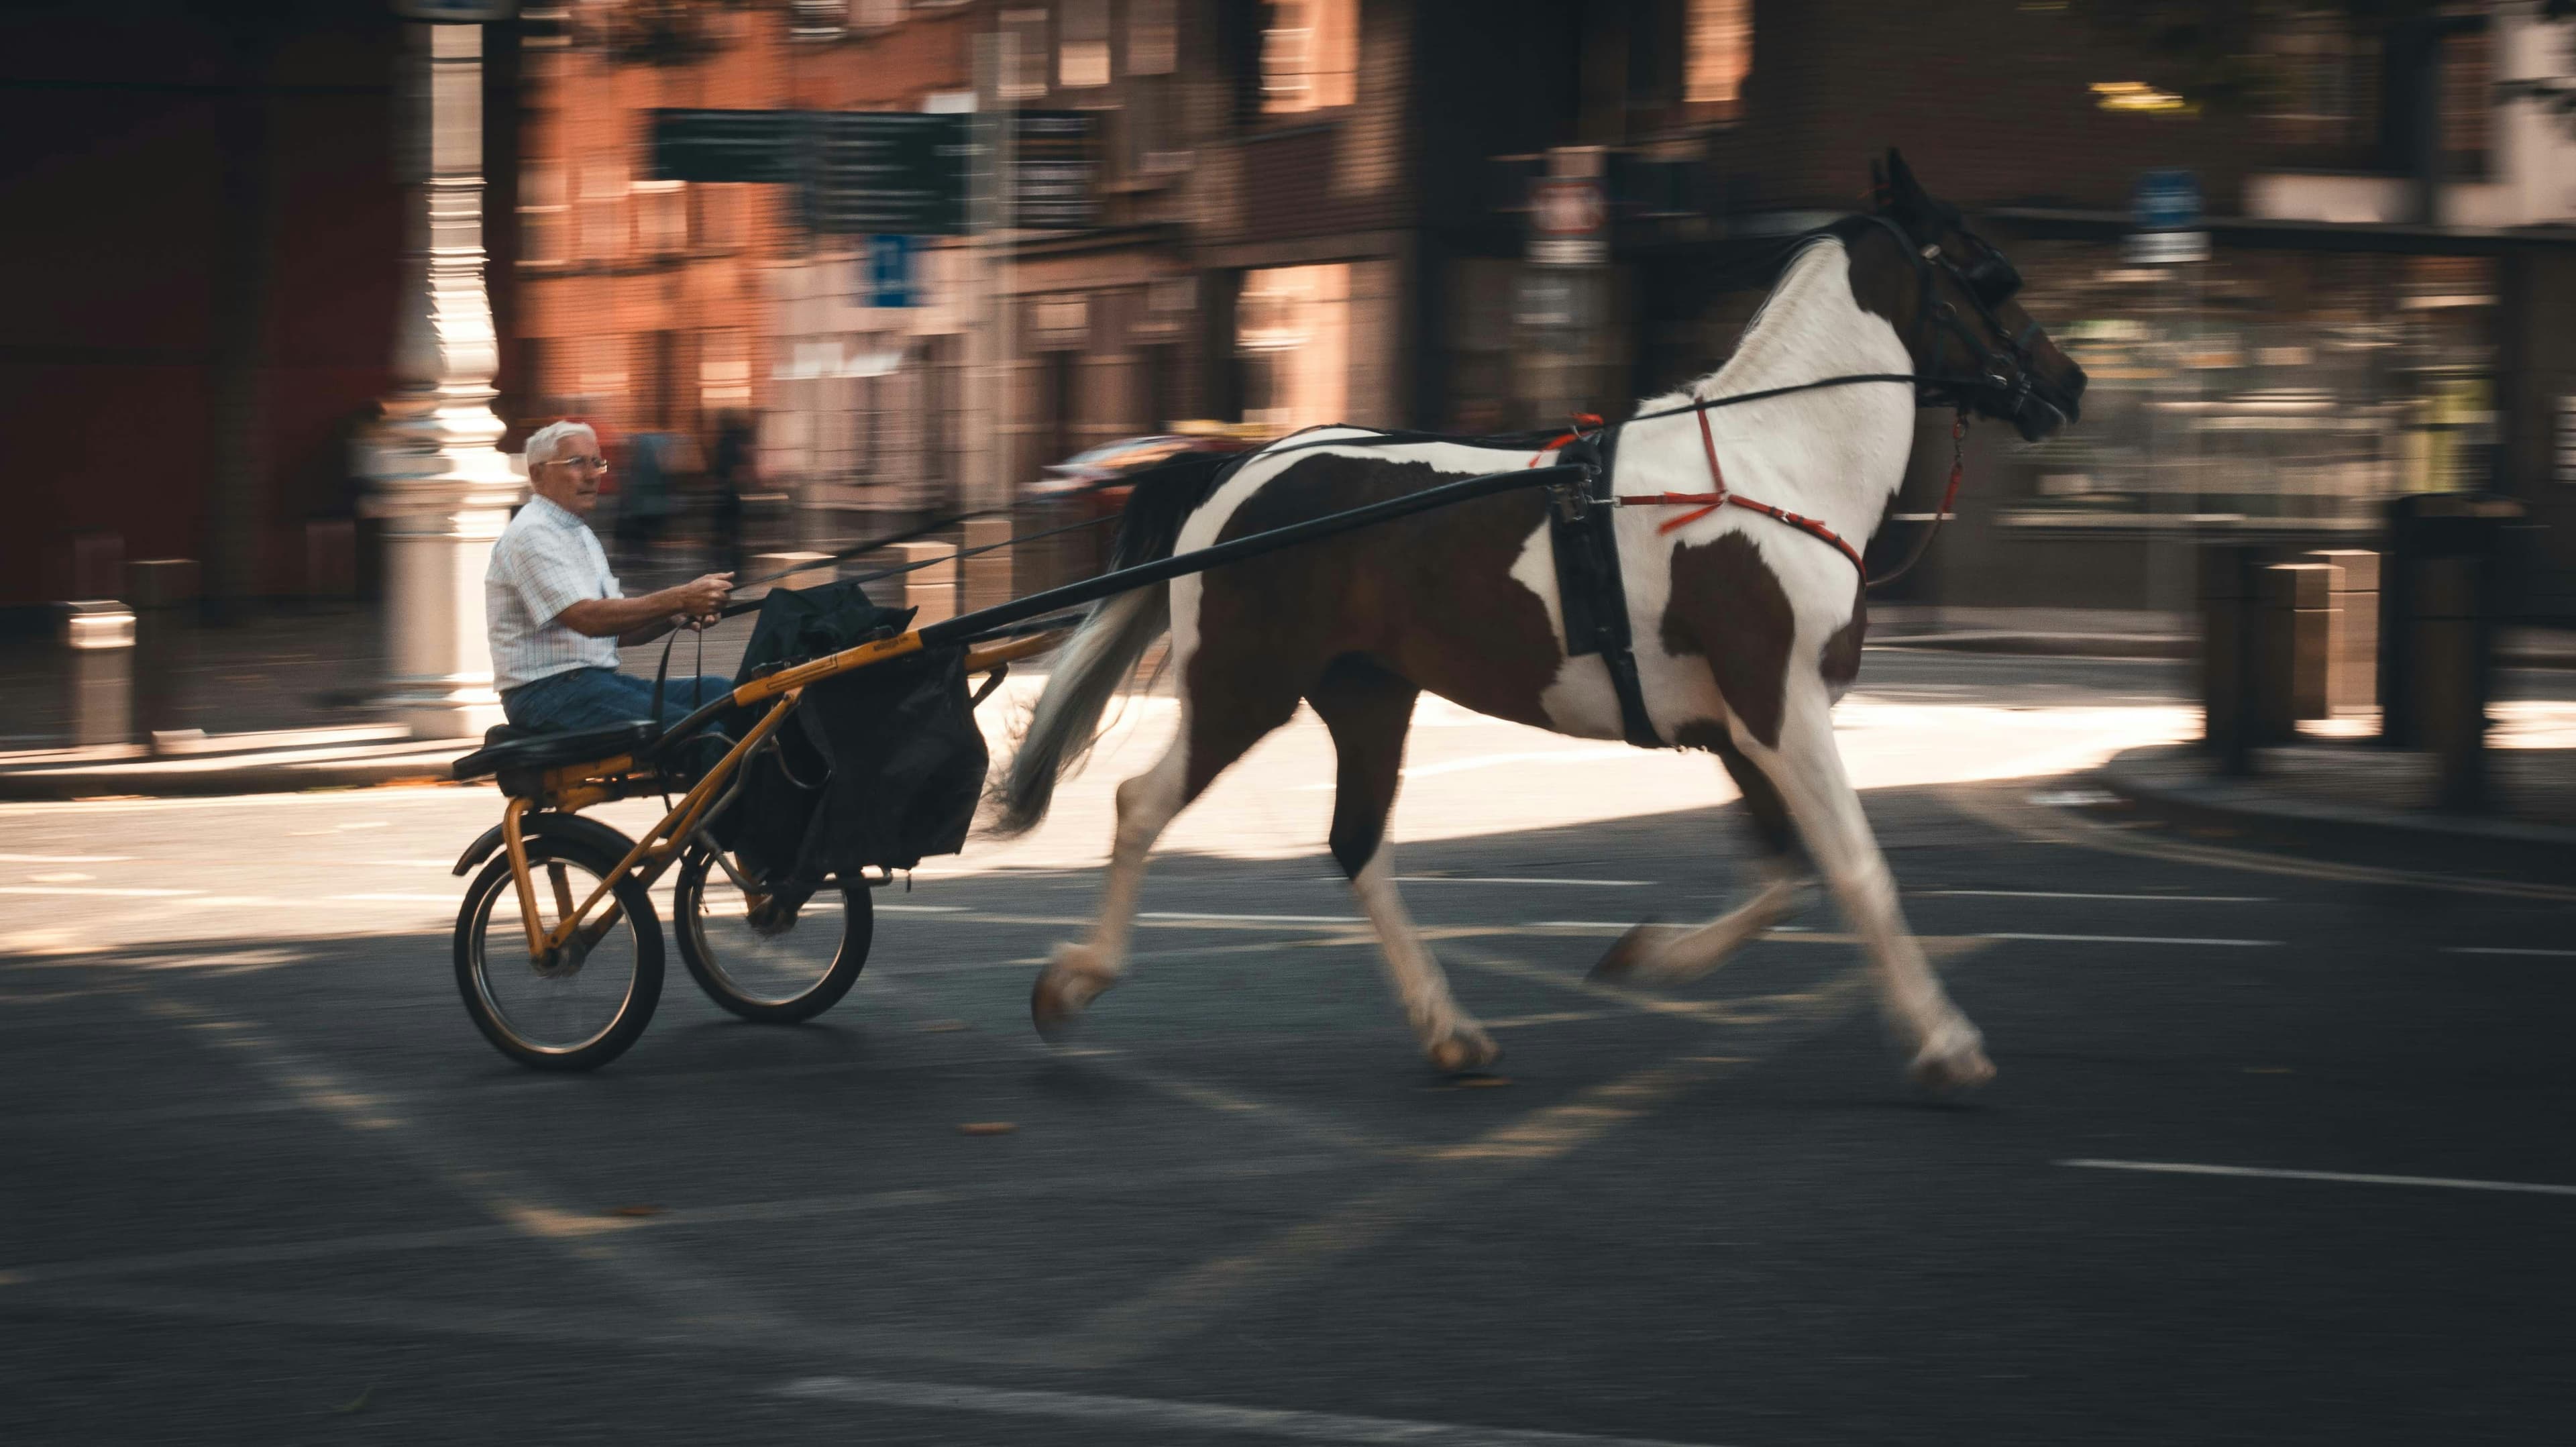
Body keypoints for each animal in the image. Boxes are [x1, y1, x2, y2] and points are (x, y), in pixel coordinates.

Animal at [993, 150, 2087, 1091]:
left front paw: (1652, 956)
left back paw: (1449, 1029)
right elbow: (1859, 869)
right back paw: (1075, 981)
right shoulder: (1782, 708)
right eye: (1990, 271)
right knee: (1143, 805)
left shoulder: (1741, 726)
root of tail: (1240, 463)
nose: (2069, 382)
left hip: (1369, 697)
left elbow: (1784, 879)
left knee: (1357, 842)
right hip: (1243, 687)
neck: (1769, 466)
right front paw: (1945, 1041)